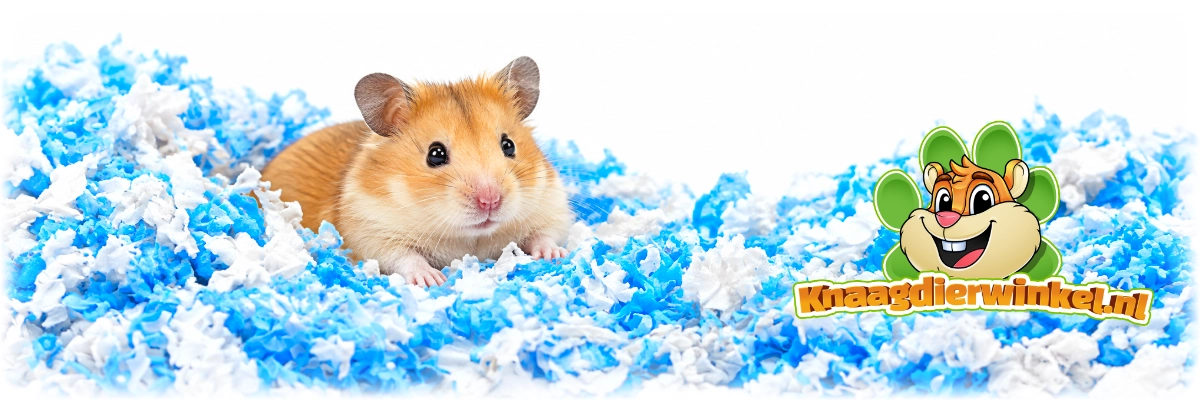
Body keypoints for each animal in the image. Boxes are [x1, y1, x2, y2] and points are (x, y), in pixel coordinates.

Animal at [261, 57, 573, 287]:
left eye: (509, 145)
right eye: (435, 154)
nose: (490, 201)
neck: (468, 236)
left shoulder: (550, 203)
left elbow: (546, 233)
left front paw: (555, 255)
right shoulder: (370, 233)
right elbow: (404, 257)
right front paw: (432, 280)